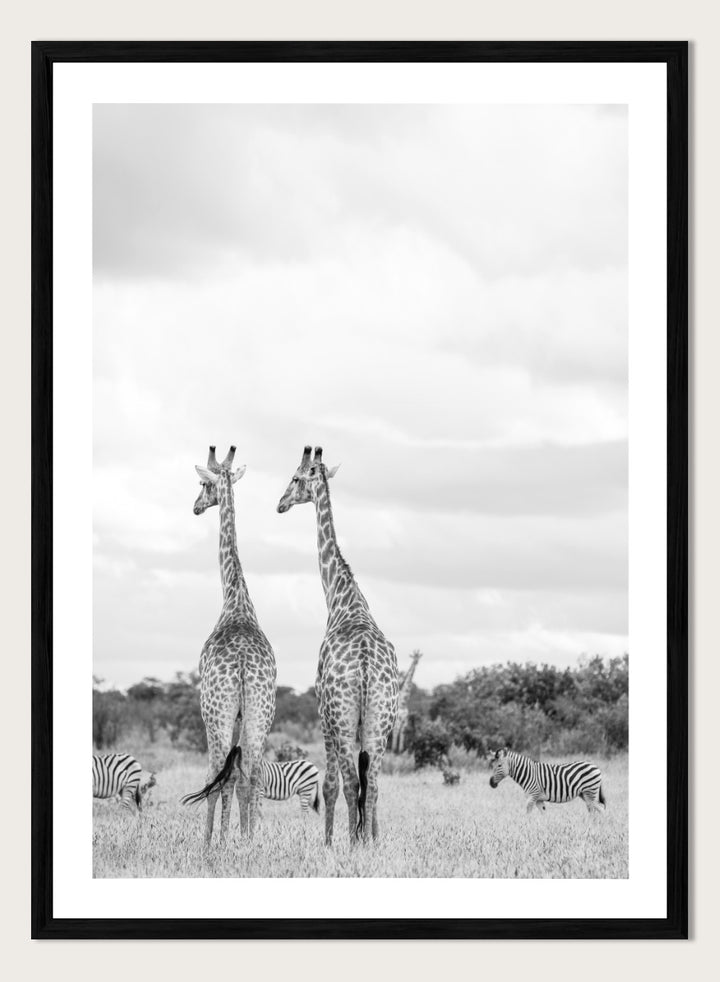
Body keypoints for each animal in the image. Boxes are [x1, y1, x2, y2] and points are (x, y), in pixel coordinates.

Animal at [277, 446, 398, 845]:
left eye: (295, 478)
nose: (280, 503)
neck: (343, 599)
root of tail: (363, 666)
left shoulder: (323, 715)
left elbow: (329, 785)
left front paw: (329, 842)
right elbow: (367, 785)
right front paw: (371, 837)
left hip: (343, 722)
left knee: (349, 784)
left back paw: (351, 843)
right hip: (381, 722)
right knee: (372, 785)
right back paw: (368, 843)